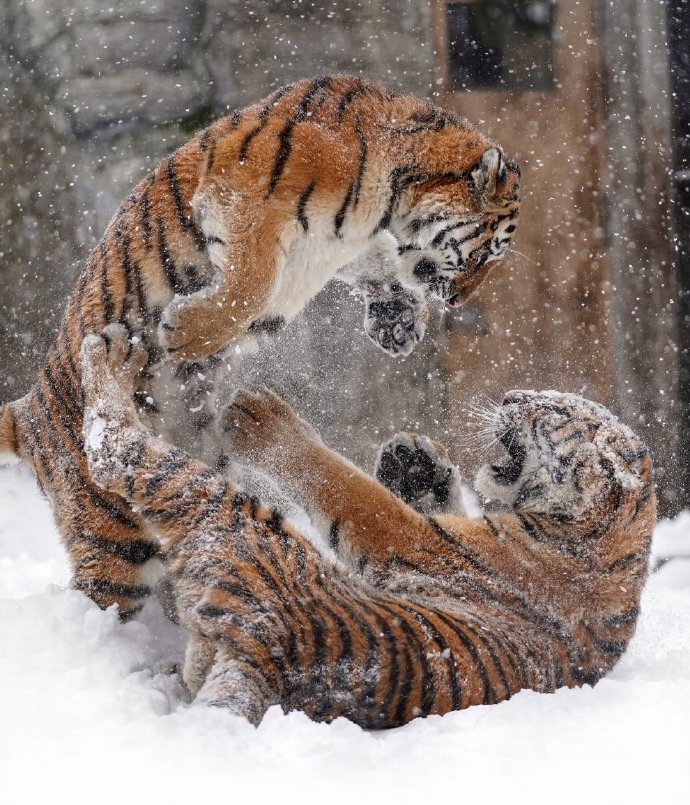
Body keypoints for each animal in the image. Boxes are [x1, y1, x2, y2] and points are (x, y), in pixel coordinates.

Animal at [0, 74, 520, 616]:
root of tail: (28, 408)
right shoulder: (245, 193)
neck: (390, 199)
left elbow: (378, 265)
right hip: (111, 529)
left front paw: (399, 323)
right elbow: (251, 282)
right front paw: (182, 331)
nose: (460, 301)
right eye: (489, 250)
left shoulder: (347, 246)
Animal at [79, 324, 652, 724]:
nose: (511, 397)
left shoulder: (411, 538)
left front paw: (266, 423)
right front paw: (416, 461)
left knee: (114, 449)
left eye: (554, 409)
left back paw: (111, 351)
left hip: (228, 512)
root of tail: (268, 657)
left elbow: (349, 487)